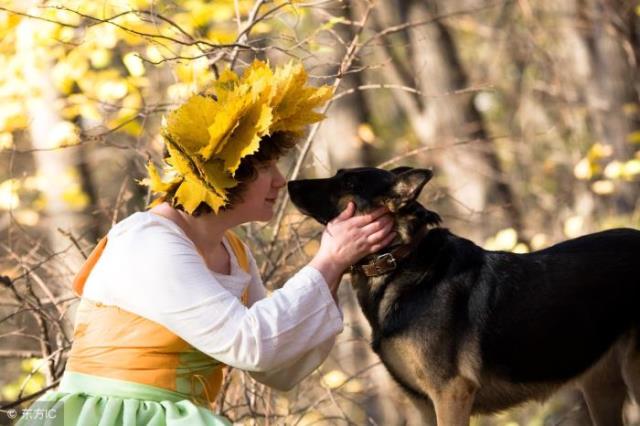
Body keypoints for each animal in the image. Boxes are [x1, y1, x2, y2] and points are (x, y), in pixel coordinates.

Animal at [288, 166, 640, 426]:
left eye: (348, 181)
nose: (290, 183)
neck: (400, 258)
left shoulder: (451, 393)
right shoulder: (425, 405)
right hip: (601, 389)